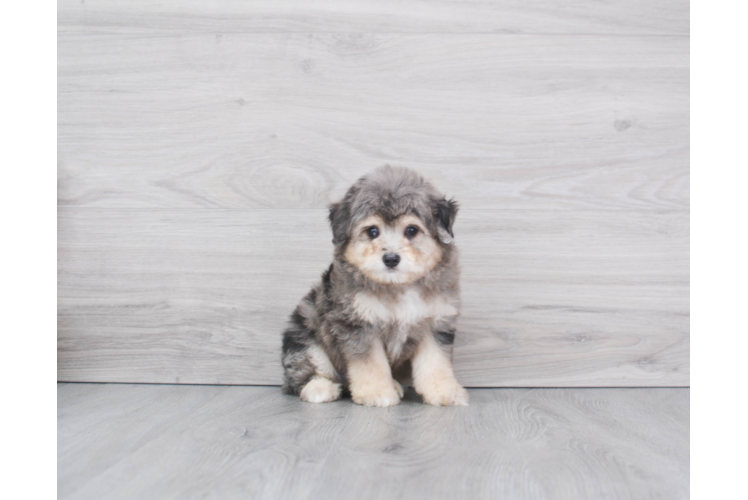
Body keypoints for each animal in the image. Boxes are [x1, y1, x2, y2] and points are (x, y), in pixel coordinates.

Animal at [282, 164, 468, 406]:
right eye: (372, 231)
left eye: (411, 230)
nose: (390, 259)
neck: (398, 285)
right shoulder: (359, 324)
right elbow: (370, 363)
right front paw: (377, 393)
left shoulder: (434, 323)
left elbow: (436, 362)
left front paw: (445, 392)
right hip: (304, 328)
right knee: (304, 369)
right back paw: (320, 387)